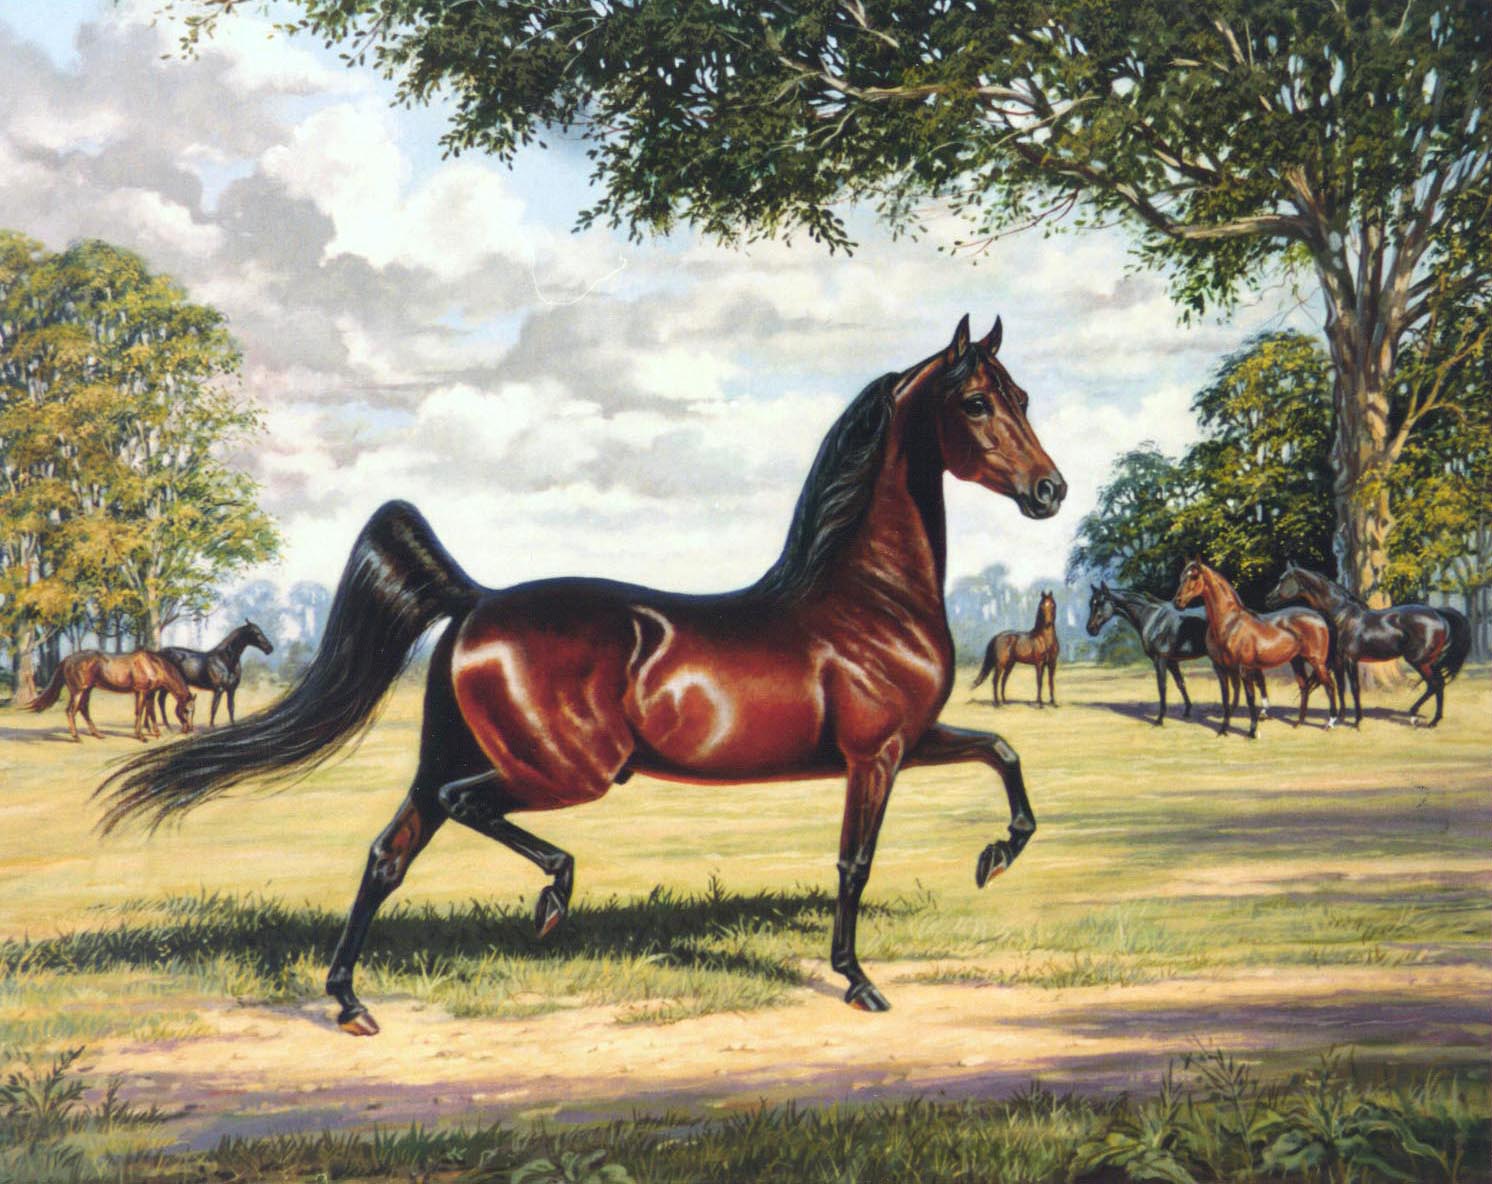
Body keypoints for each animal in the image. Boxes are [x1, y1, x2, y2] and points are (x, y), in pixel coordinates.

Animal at [28, 651, 195, 742]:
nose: (189, 729)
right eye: (186, 710)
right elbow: (141, 712)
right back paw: (76, 737)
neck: (152, 665)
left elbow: (150, 712)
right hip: (78, 691)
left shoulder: (149, 693)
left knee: (84, 710)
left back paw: (98, 734)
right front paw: (141, 736)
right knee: (71, 711)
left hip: (87, 690)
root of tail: (67, 659)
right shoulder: (142, 691)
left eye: (193, 711)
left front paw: (156, 733)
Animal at [97, 314, 1067, 1036]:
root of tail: (478, 602)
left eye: (1022, 395)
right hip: (569, 771)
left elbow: (1006, 753)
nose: (1050, 491)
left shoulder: (917, 738)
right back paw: (551, 899)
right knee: (465, 809)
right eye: (976, 402)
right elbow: (856, 862)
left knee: (387, 854)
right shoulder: (877, 754)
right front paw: (859, 981)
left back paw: (350, 1003)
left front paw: (994, 859)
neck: (866, 599)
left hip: (461, 757)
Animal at [1083, 582, 1213, 725]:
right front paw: (1187, 712)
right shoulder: (1172, 661)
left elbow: (1162, 686)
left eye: (1100, 603)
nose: (1090, 629)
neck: (1154, 619)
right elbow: (1180, 683)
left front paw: (1160, 719)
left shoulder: (1160, 659)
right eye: (1091, 603)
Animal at [1172, 559, 1338, 738]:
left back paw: (1330, 723)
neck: (1229, 623)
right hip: (1297, 661)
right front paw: (1223, 729)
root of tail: (1319, 617)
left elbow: (1249, 697)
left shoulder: (1244, 669)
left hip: (1317, 661)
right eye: (1181, 577)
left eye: (1194, 577)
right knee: (1304, 687)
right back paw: (1298, 723)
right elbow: (1228, 698)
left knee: (1329, 686)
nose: (1177, 602)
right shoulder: (1223, 669)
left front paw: (1252, 731)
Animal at [1266, 564, 1471, 728]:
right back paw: (1434, 721)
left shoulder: (1350, 660)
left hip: (1419, 661)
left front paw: (1357, 721)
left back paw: (1415, 715)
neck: (1343, 617)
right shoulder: (1339, 660)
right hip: (1430, 662)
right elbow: (1341, 687)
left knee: (1434, 684)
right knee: (1440, 685)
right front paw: (1340, 718)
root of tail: (1438, 613)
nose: (1268, 598)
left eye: (1283, 580)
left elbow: (1355, 688)